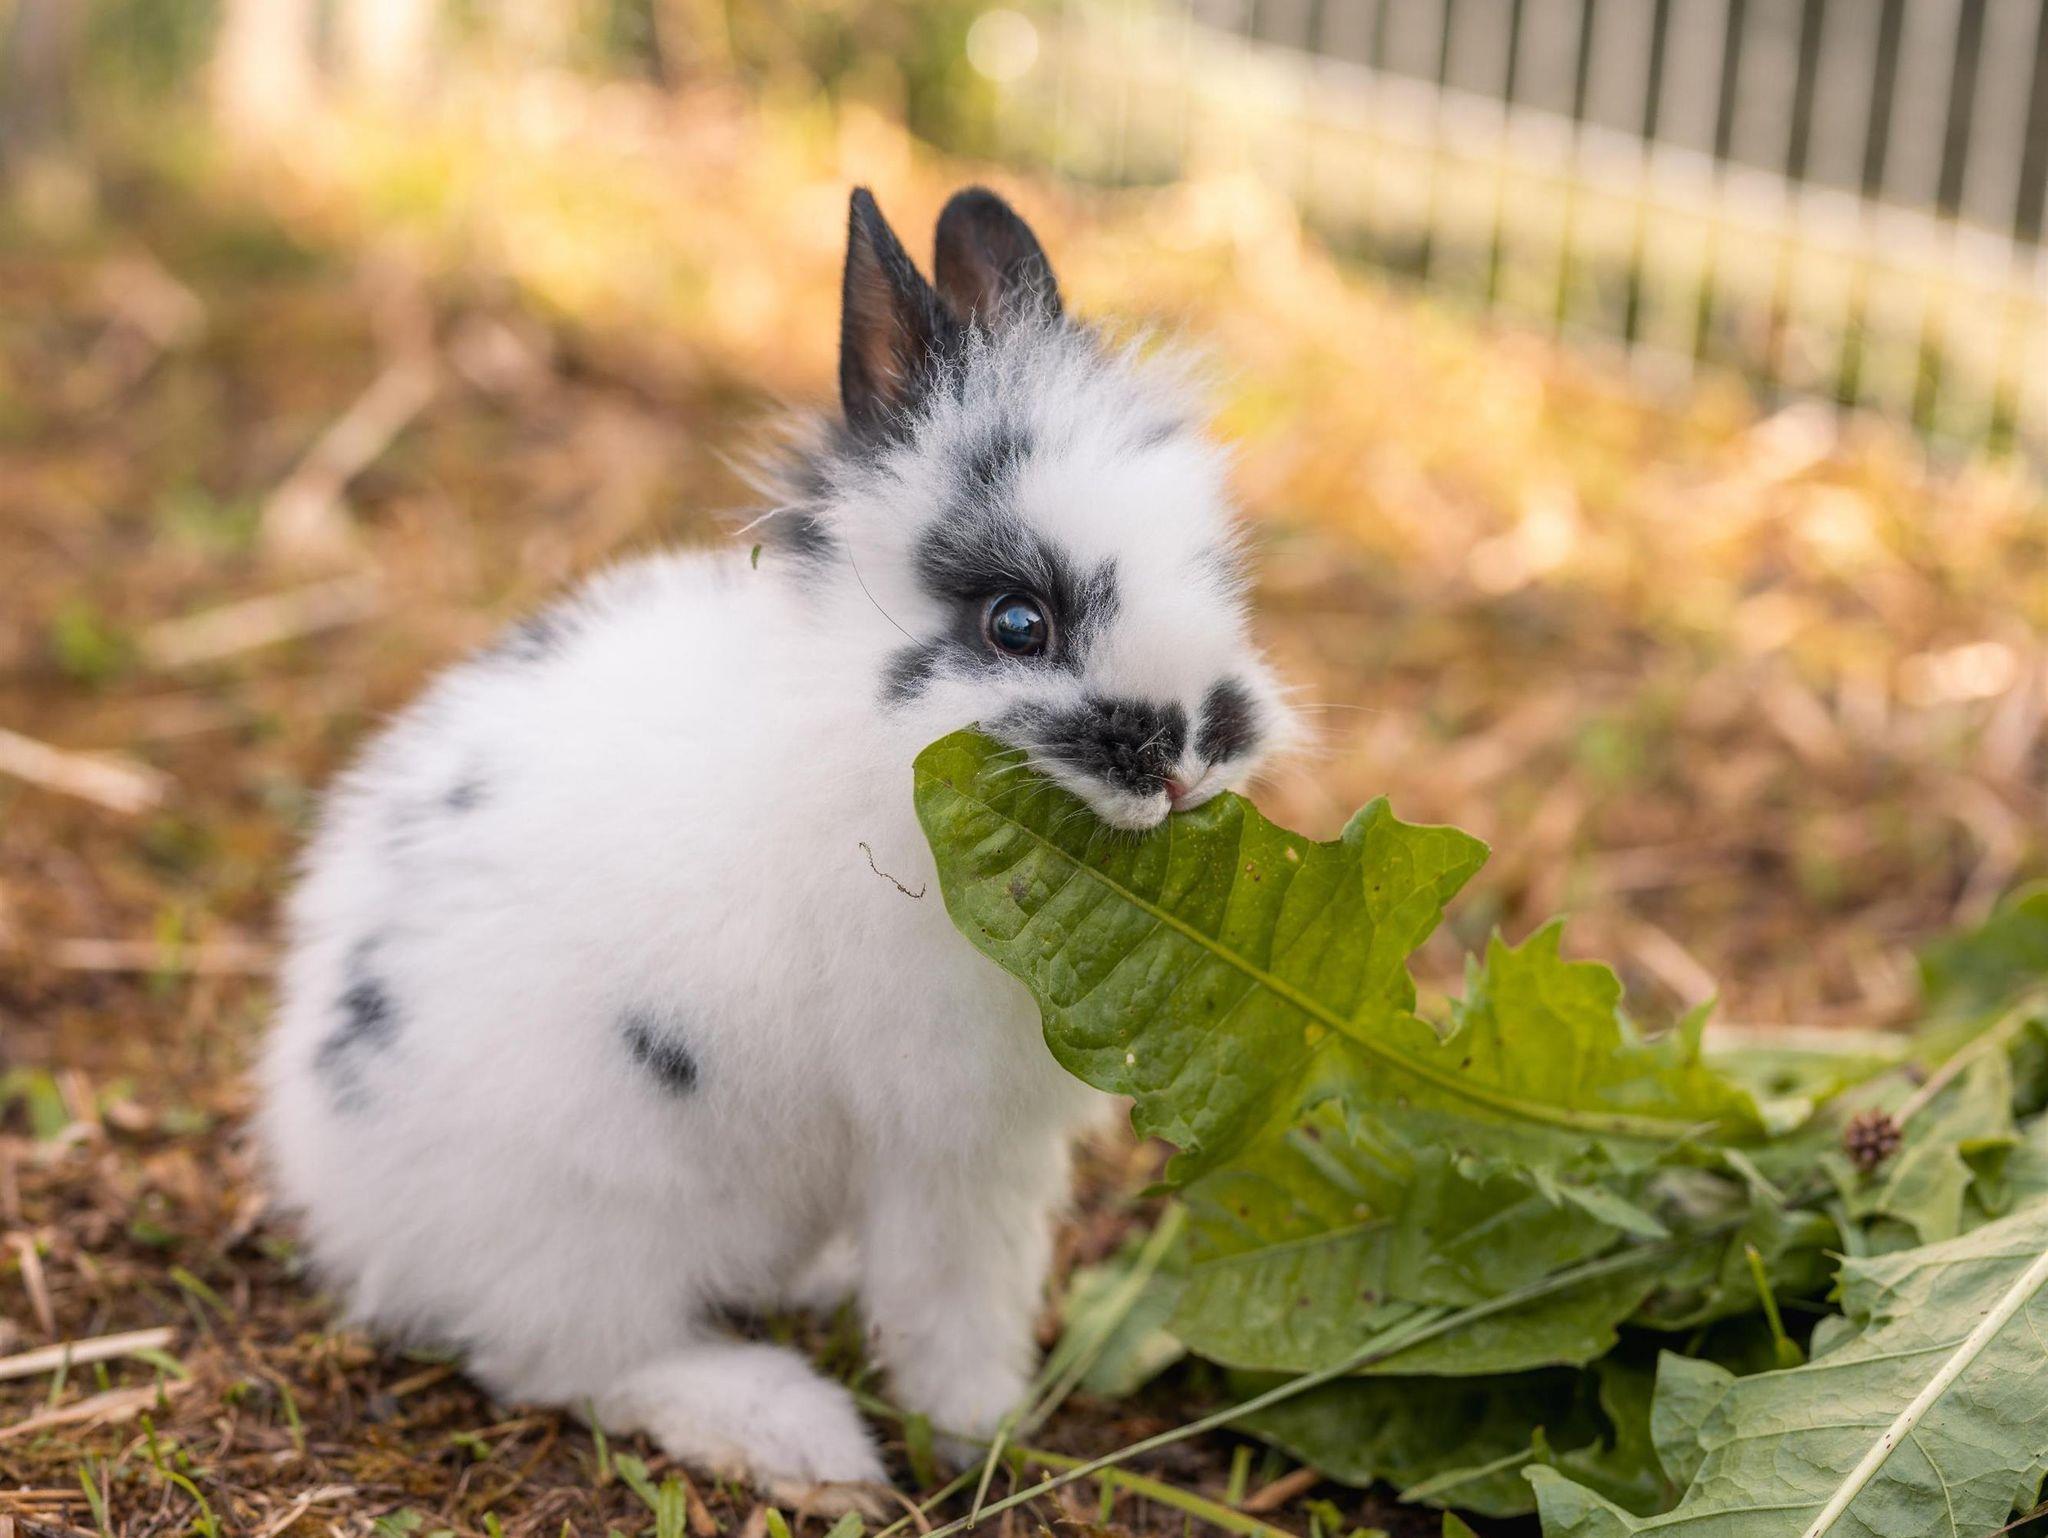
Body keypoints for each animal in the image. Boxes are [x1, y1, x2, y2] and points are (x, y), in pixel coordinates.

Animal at [260, 185, 1294, 1510]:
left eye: (1214, 573)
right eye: (1017, 621)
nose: (1188, 756)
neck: (856, 748)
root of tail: (336, 1189)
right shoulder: (951, 1139)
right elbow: (955, 1297)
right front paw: (980, 1431)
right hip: (593, 1209)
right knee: (576, 1359)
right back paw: (798, 1439)